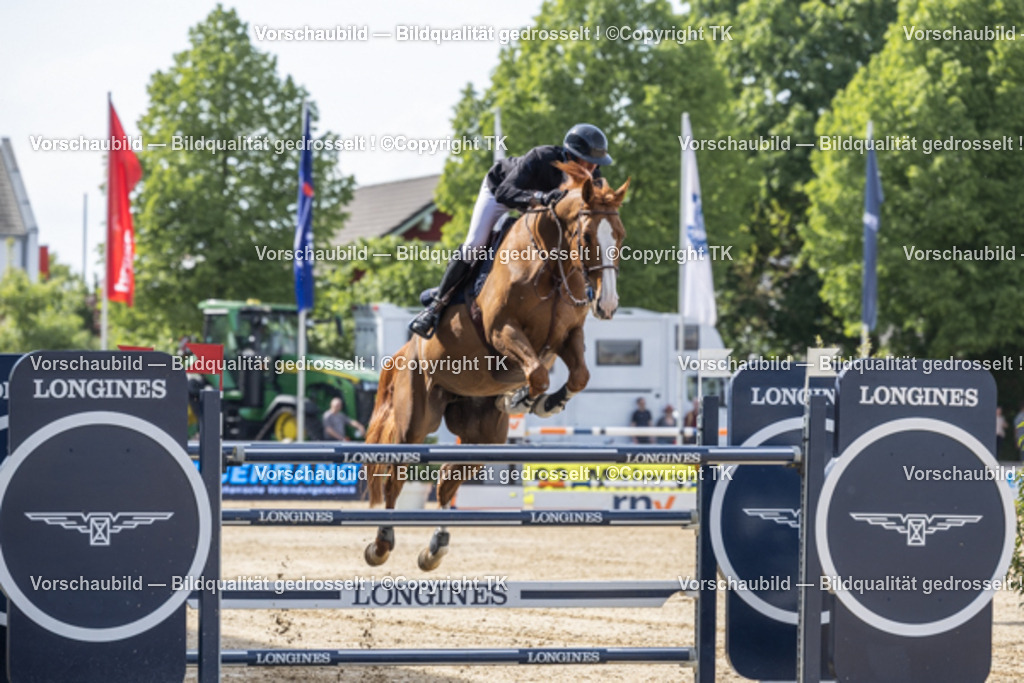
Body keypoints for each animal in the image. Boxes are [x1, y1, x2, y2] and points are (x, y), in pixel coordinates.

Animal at [363, 161, 630, 570]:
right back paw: (381, 543)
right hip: (416, 419)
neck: (550, 262)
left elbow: (579, 375)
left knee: (447, 480)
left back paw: (435, 547)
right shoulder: (502, 329)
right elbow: (537, 371)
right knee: (396, 474)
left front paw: (544, 403)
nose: (608, 304)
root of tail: (403, 353)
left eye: (619, 235)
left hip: (483, 435)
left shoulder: (568, 335)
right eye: (587, 236)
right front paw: (522, 398)